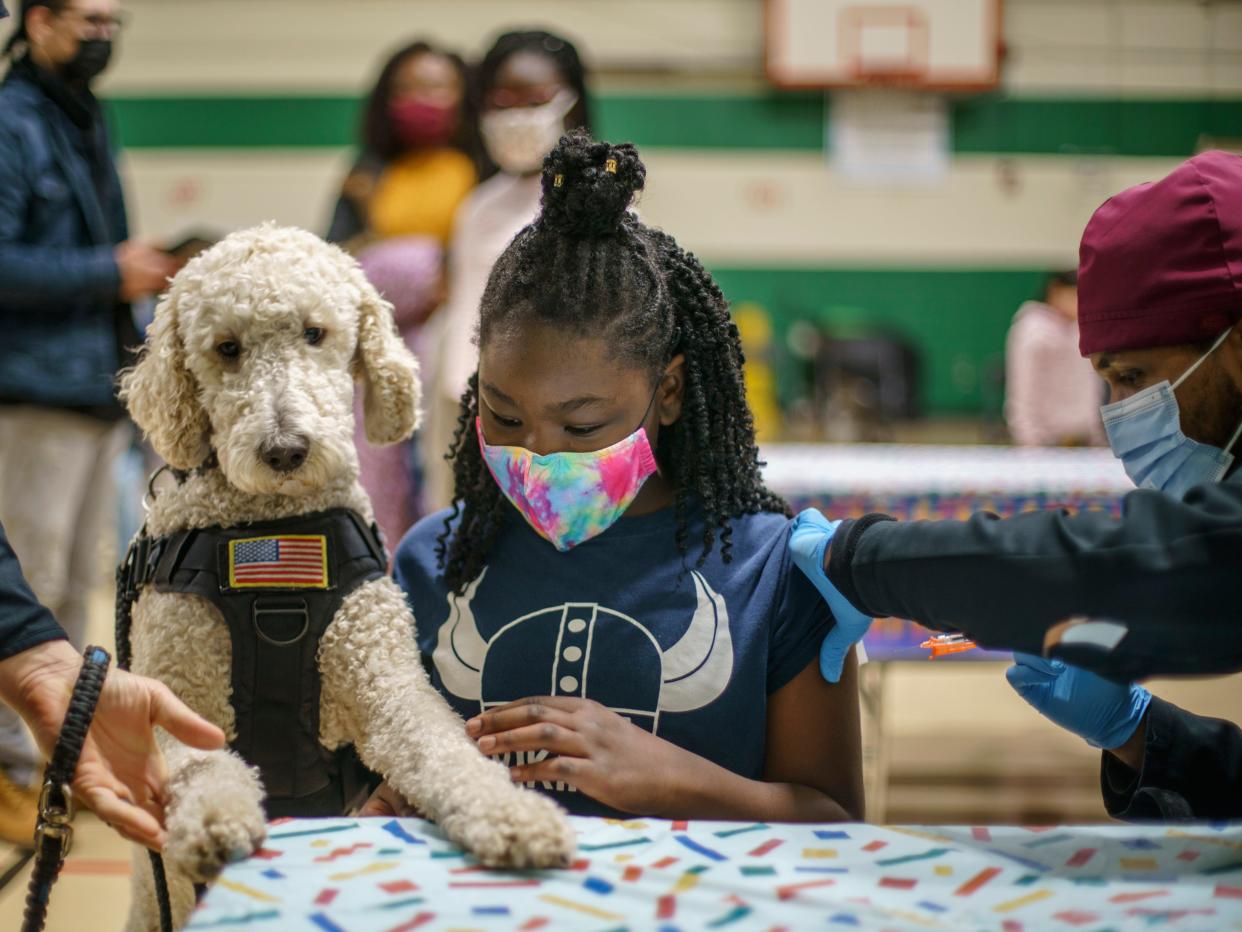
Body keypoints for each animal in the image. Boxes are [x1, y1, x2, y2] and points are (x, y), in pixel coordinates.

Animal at [116, 226, 571, 932]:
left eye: (315, 333)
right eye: (227, 348)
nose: (284, 450)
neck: (275, 534)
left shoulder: (385, 684)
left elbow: (444, 750)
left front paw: (511, 814)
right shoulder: (179, 695)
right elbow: (203, 764)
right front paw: (218, 819)